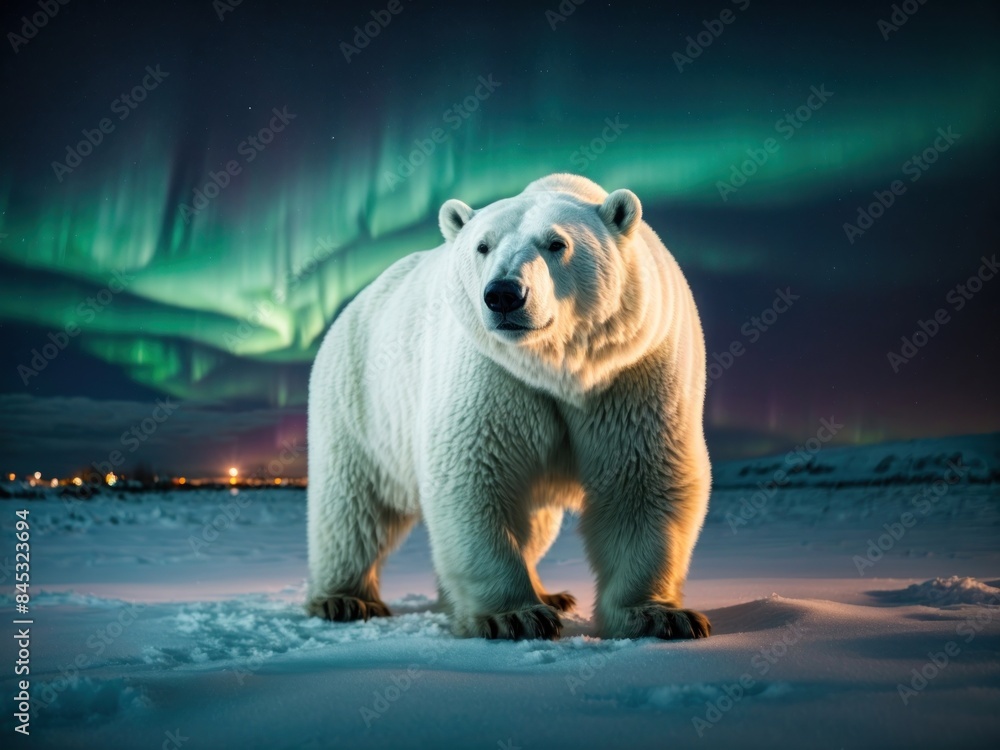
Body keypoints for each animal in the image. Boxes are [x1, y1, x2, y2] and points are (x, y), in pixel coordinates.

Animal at [306, 173, 711, 640]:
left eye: (556, 243)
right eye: (483, 245)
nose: (503, 294)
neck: (557, 368)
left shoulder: (632, 372)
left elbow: (641, 480)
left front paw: (659, 616)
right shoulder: (493, 374)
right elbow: (475, 475)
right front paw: (514, 616)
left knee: (535, 521)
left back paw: (549, 593)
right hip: (360, 397)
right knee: (353, 505)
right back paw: (343, 599)